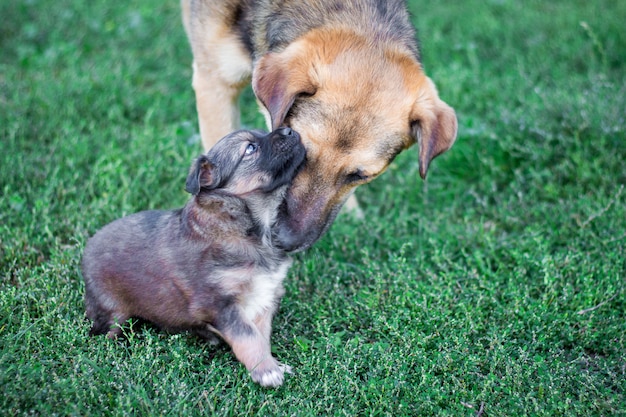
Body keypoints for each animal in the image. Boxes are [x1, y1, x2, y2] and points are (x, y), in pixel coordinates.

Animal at [81, 127, 306, 386]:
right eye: (250, 148)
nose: (289, 130)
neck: (254, 227)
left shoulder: (263, 297)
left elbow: (261, 335)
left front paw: (273, 364)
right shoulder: (219, 303)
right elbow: (248, 336)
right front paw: (266, 370)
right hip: (114, 309)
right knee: (108, 331)